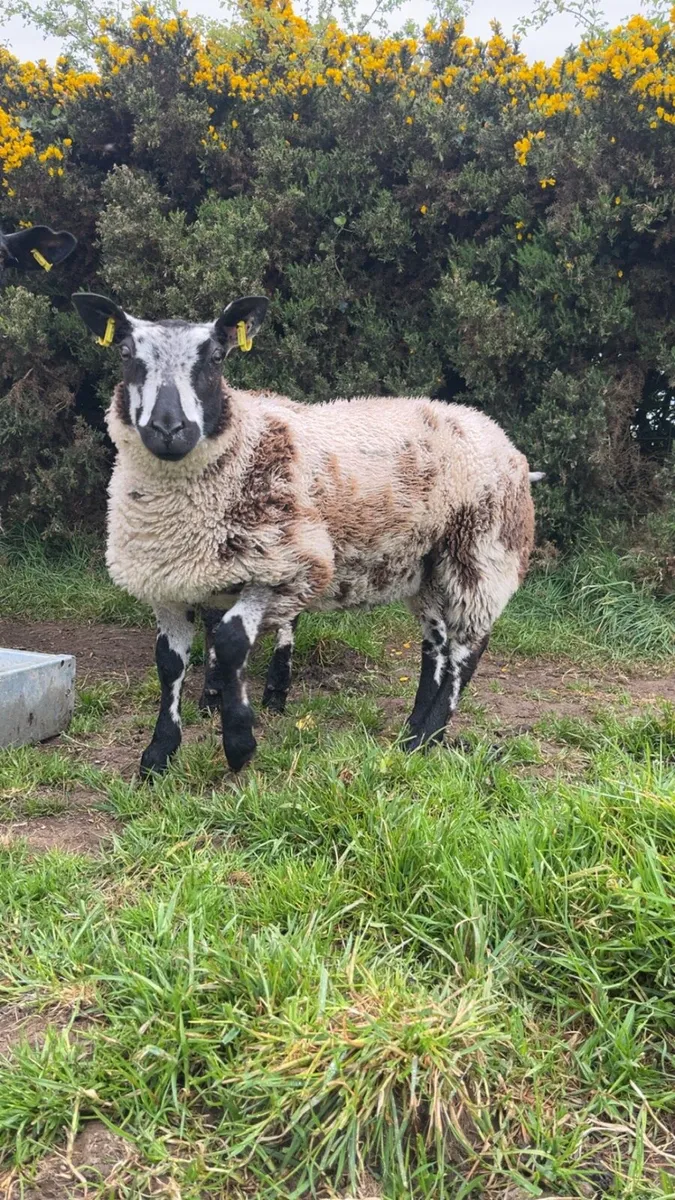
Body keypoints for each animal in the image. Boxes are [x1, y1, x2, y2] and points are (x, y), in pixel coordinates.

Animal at [72, 290, 540, 777]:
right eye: (126, 354)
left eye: (217, 357)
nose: (168, 429)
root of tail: (494, 430)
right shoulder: (171, 583)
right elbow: (170, 663)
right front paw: (159, 754)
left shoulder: (288, 566)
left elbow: (232, 641)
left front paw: (240, 741)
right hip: (426, 566)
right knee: (437, 647)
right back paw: (412, 737)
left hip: (482, 549)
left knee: (468, 648)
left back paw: (429, 734)